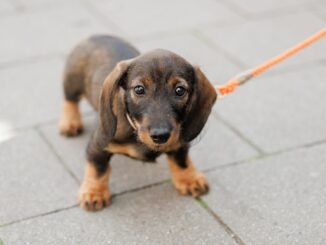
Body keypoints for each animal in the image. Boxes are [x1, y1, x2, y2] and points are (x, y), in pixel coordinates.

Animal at [59, 34, 216, 211]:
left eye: (180, 90)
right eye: (139, 89)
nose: (160, 135)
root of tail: (97, 36)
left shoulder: (179, 140)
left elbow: (181, 159)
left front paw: (189, 178)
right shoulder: (98, 144)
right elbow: (98, 169)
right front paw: (94, 192)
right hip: (72, 82)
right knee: (70, 100)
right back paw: (70, 122)